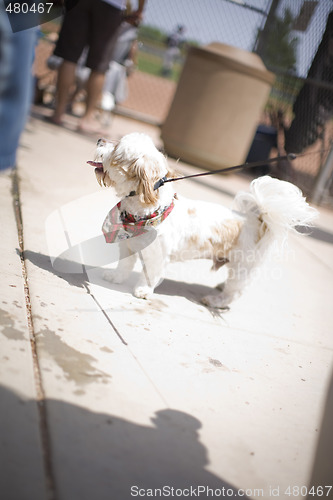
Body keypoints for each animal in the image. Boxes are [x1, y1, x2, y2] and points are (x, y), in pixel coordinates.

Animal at [90, 131, 316, 306]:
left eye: (116, 148)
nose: (99, 139)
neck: (149, 213)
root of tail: (257, 219)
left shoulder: (157, 255)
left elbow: (150, 275)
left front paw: (143, 291)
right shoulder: (128, 247)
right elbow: (124, 266)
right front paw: (116, 277)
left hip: (242, 266)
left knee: (235, 292)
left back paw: (217, 301)